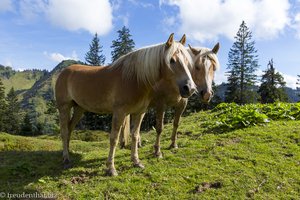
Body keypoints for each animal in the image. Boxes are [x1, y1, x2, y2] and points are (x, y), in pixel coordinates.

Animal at [54, 33, 196, 176]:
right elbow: (114, 138)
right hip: (64, 107)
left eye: (187, 61)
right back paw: (66, 158)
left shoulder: (140, 112)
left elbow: (135, 135)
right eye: (172, 60)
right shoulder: (120, 112)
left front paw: (136, 161)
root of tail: (63, 72)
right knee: (64, 131)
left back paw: (67, 153)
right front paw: (111, 168)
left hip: (79, 109)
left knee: (69, 129)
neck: (135, 79)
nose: (189, 88)